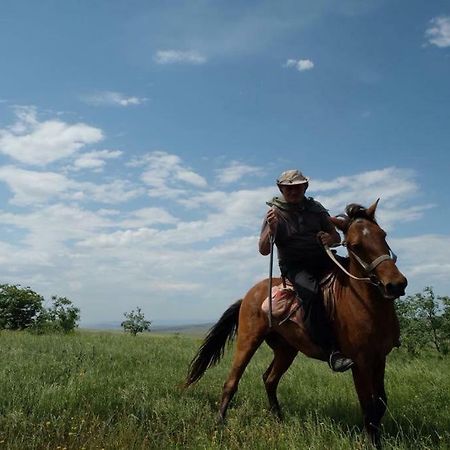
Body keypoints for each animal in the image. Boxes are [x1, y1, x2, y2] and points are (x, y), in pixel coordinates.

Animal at [185, 200, 408, 446]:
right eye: (355, 245)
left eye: (383, 234)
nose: (395, 284)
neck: (363, 303)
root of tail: (249, 295)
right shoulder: (360, 363)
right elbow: (369, 408)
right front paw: (371, 443)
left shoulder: (379, 358)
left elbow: (381, 403)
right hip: (248, 340)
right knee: (232, 381)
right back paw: (219, 423)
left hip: (286, 349)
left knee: (269, 379)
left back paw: (278, 418)